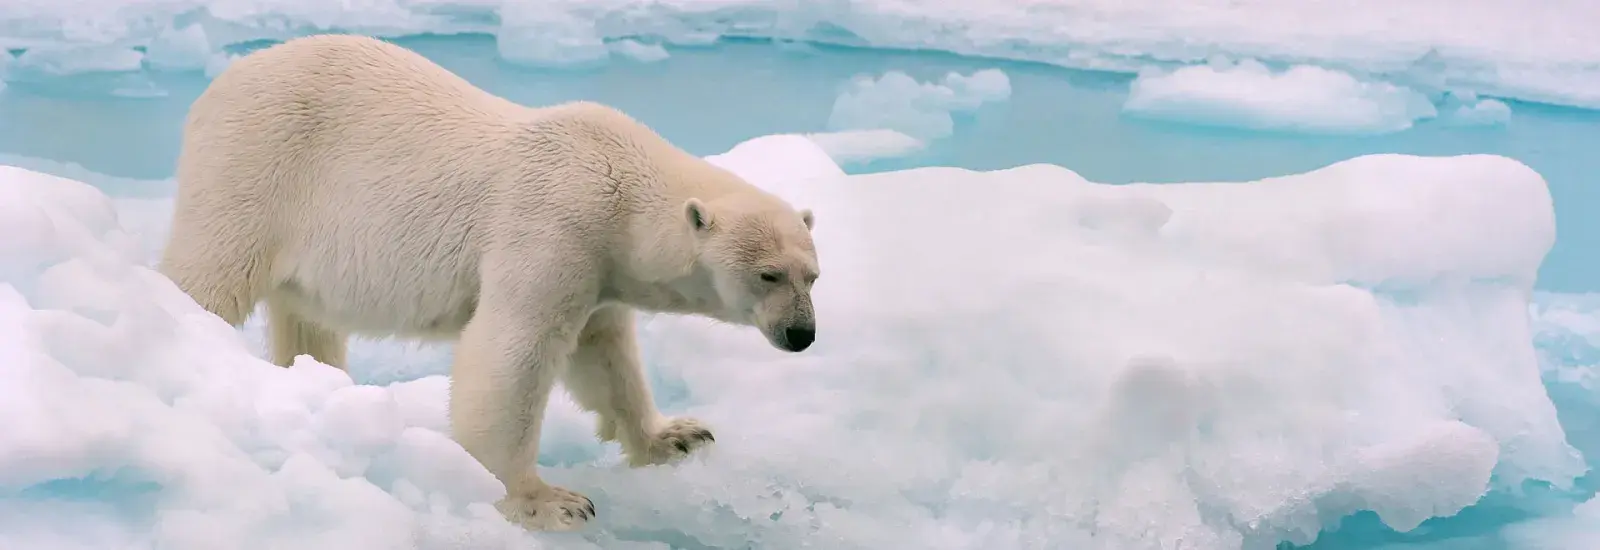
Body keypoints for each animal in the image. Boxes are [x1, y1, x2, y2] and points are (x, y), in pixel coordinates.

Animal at [158, 33, 821, 531]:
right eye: (768, 274)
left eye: (813, 275)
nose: (803, 335)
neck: (618, 184)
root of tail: (222, 81)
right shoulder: (554, 227)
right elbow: (511, 355)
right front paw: (549, 501)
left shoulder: (600, 269)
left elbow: (606, 358)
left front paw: (677, 436)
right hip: (255, 168)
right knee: (209, 274)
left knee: (307, 318)